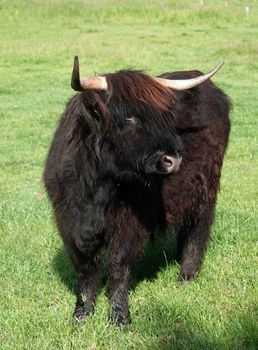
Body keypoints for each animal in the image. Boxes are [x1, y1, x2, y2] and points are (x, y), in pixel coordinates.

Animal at [43, 56, 230, 326]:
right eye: (128, 117)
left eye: (164, 118)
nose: (173, 159)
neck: (96, 189)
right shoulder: (68, 222)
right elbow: (84, 268)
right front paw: (82, 313)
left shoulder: (132, 222)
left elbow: (119, 264)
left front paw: (119, 316)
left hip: (205, 186)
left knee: (198, 228)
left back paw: (186, 275)